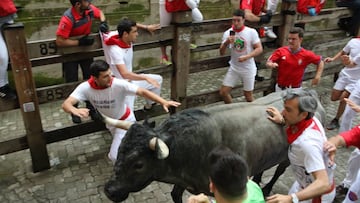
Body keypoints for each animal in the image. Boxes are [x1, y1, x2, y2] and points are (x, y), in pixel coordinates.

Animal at [102, 91, 326, 203]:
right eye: (119, 151)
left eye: (138, 164)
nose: (109, 191)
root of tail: (310, 95)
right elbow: (175, 195)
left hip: (288, 158)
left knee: (279, 170)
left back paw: (267, 187)